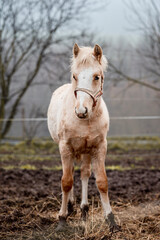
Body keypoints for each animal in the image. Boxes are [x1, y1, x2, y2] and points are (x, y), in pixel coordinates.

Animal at [47, 43, 119, 231]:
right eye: (75, 76)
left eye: (97, 77)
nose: (81, 111)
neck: (85, 120)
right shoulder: (65, 147)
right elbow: (66, 181)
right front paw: (62, 219)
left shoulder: (99, 147)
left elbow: (101, 182)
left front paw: (111, 220)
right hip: (69, 150)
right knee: (70, 173)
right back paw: (70, 207)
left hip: (86, 151)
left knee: (84, 174)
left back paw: (84, 210)